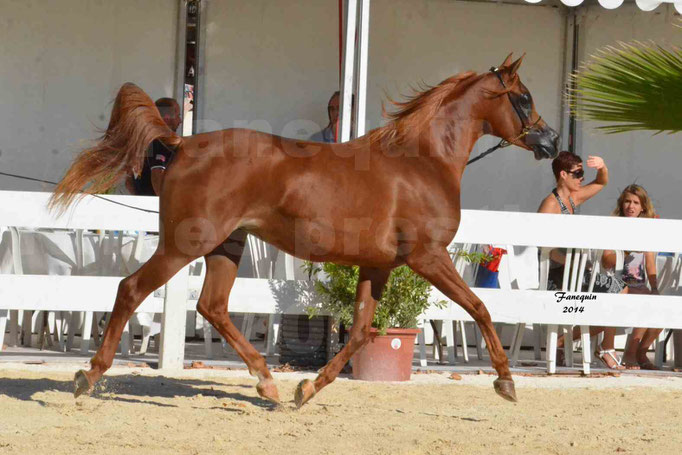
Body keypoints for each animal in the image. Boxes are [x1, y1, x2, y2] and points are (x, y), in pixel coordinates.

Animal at [50, 52, 556, 406]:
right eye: (524, 97)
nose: (550, 141)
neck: (422, 162)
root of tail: (182, 142)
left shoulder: (377, 266)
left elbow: (360, 333)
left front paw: (306, 391)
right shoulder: (428, 257)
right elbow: (480, 308)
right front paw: (506, 382)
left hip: (226, 246)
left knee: (213, 306)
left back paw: (269, 383)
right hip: (184, 244)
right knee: (132, 289)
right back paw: (88, 376)